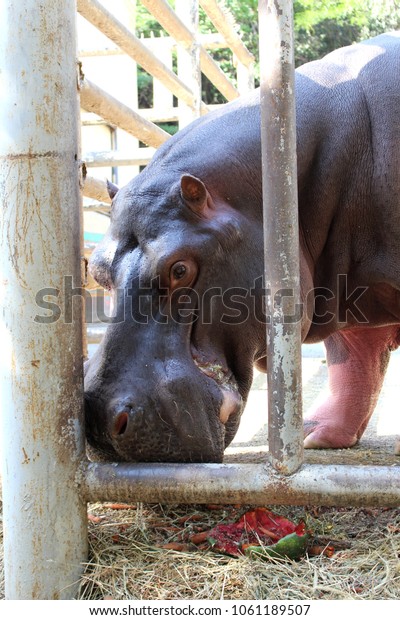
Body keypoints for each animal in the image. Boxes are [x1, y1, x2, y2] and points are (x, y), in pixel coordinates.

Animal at [84, 32, 400, 460]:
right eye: (96, 271)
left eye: (180, 269)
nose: (97, 419)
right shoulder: (341, 286)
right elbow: (352, 361)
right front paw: (313, 436)